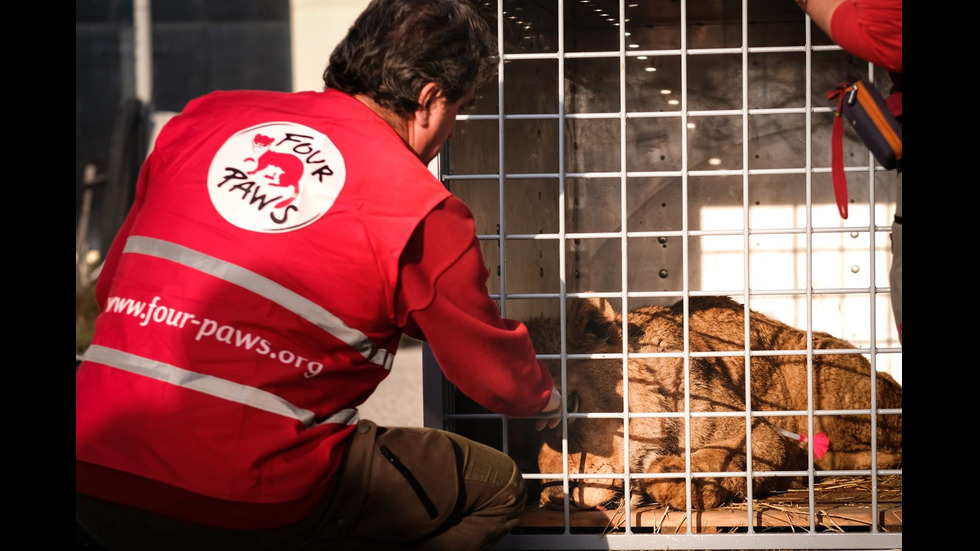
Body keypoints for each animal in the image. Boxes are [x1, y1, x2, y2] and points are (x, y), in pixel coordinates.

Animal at [520, 298, 904, 512]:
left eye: (571, 403)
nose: (554, 497)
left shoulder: (760, 431)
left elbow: (727, 457)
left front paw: (679, 476)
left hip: (811, 359)